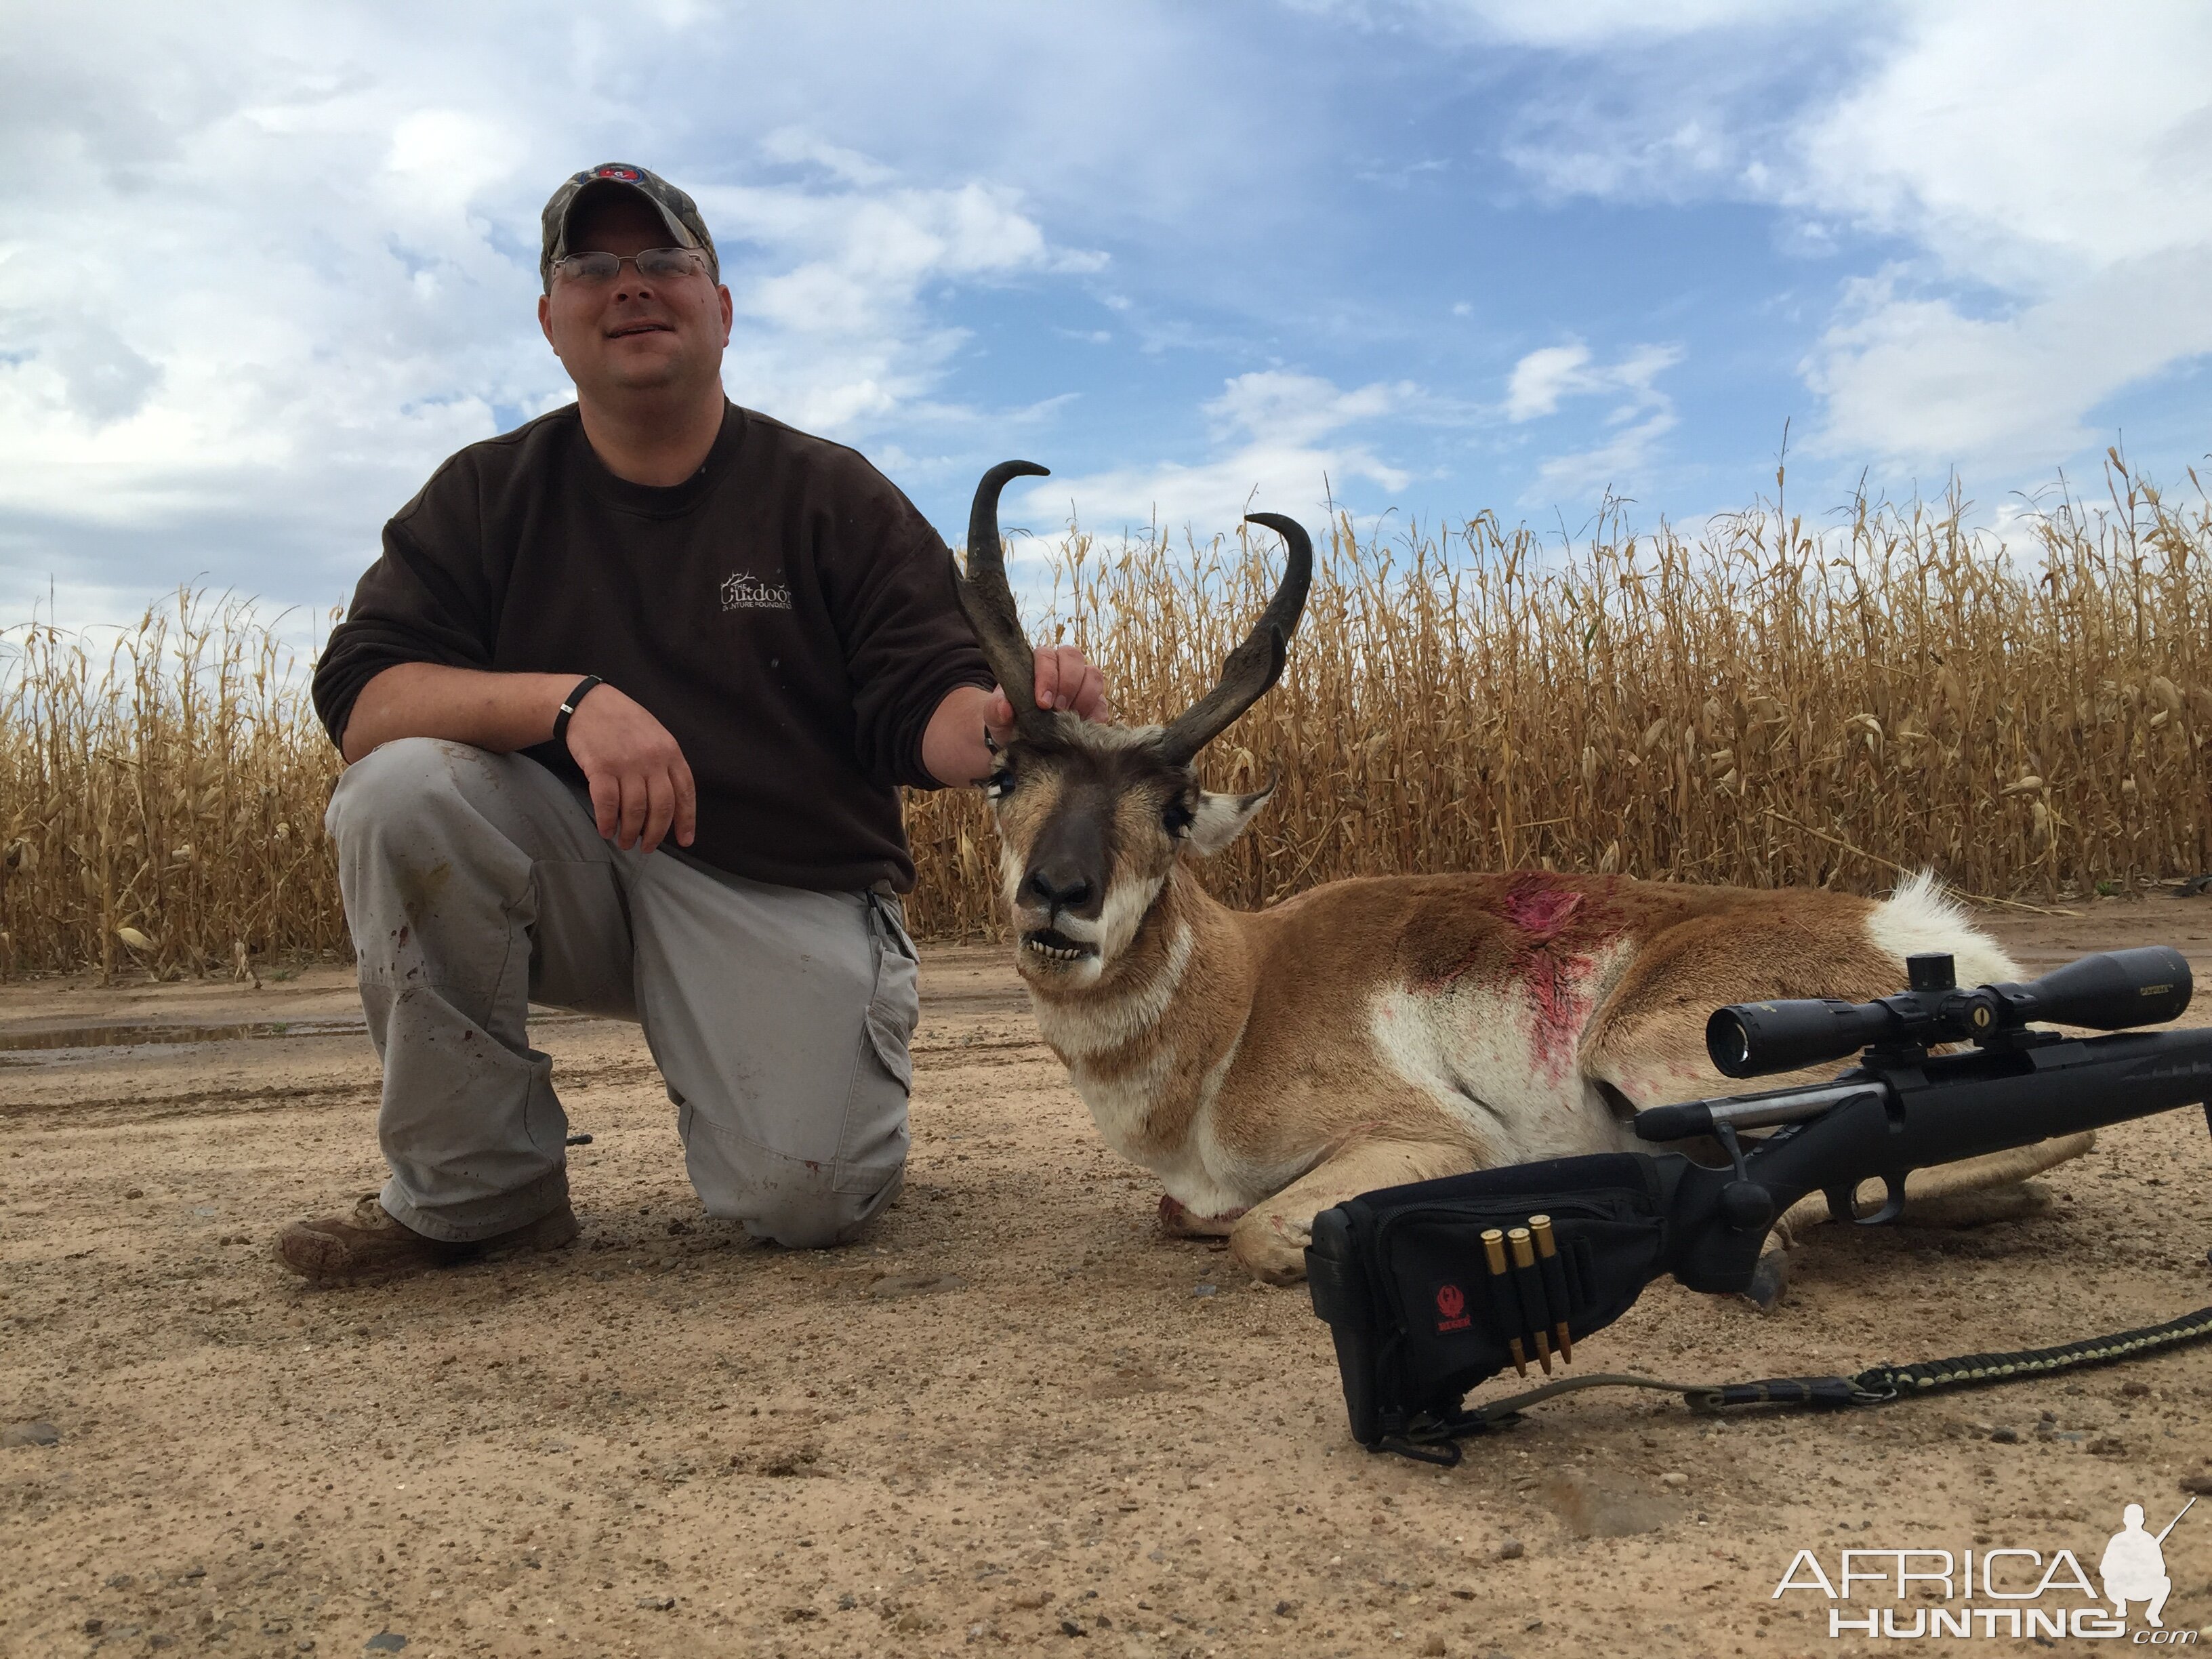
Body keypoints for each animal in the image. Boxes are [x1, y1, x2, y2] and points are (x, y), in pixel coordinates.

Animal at [956, 462, 2088, 1292]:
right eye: (1004, 773)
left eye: (1175, 809)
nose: (1058, 895)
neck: (1243, 994)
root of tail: (1921, 936)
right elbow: (1184, 1214)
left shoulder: (1427, 1136)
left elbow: (1253, 1232)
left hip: (1651, 1048)